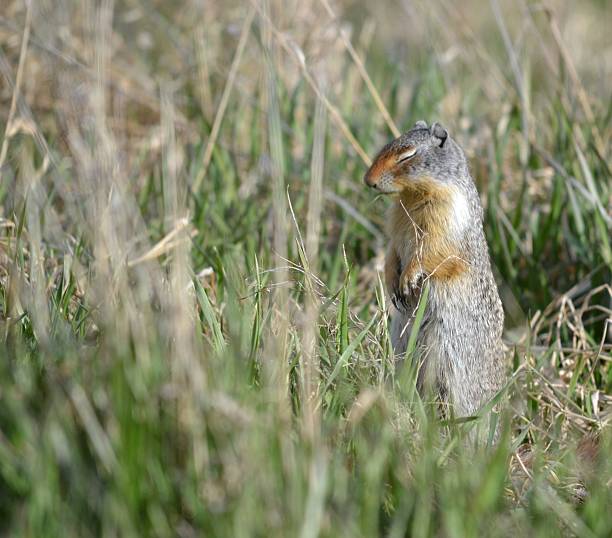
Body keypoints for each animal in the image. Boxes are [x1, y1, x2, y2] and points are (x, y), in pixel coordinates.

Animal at [366, 119, 504, 426]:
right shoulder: (397, 230)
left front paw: (408, 279)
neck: (412, 195)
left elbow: (431, 252)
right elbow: (392, 251)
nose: (368, 181)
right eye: (384, 146)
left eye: (407, 155)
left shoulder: (446, 217)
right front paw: (392, 281)